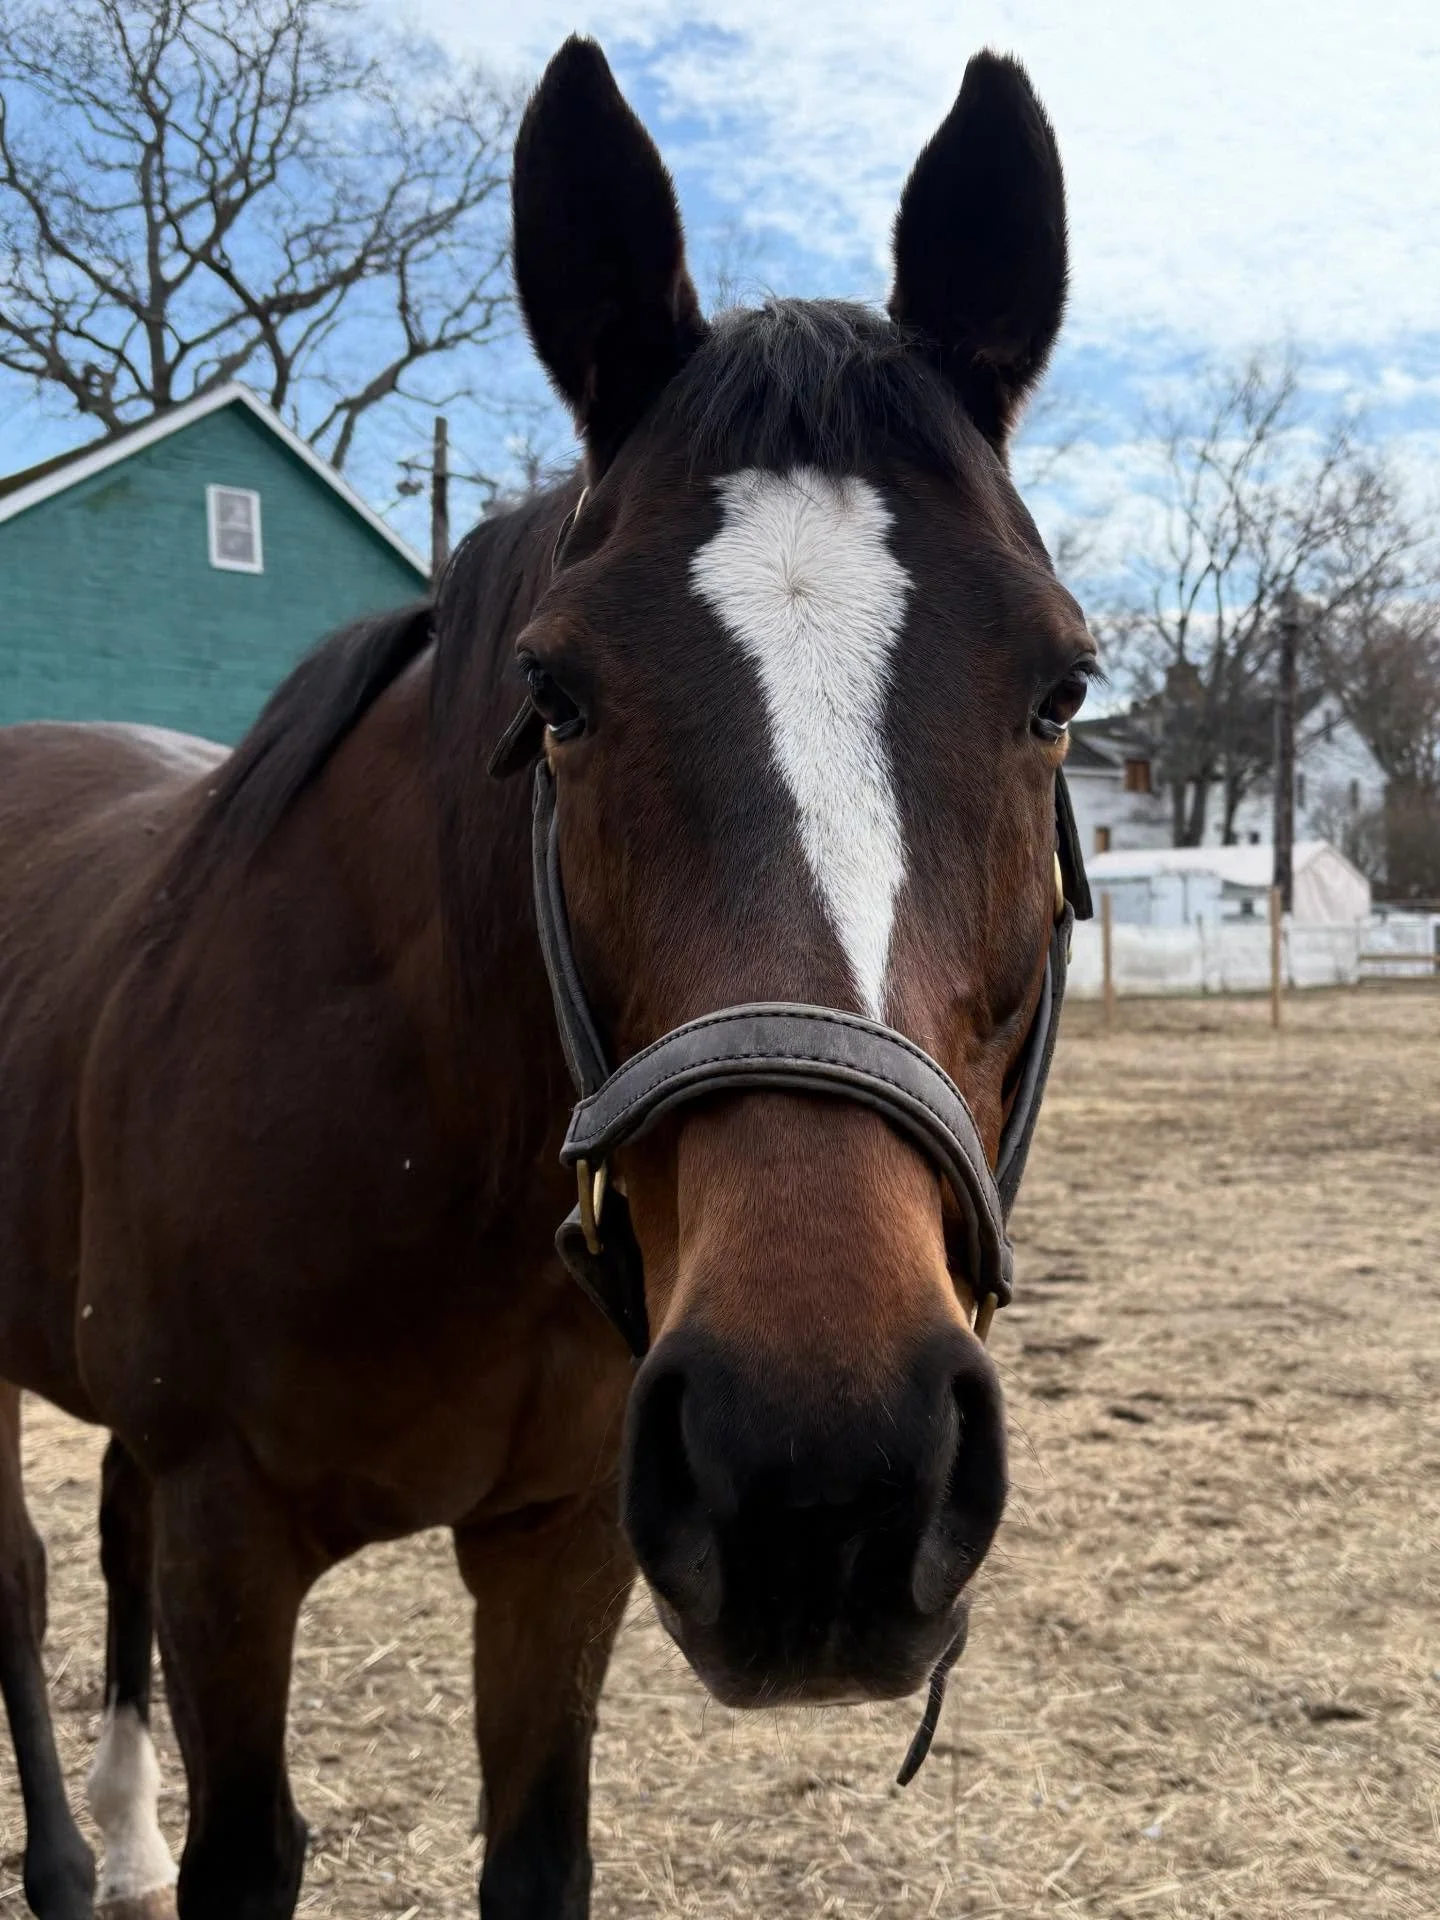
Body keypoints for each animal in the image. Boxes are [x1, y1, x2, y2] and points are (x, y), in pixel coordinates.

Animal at [0, 36, 1095, 1920]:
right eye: (558, 695)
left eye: (1059, 692)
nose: (828, 1471)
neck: (433, 1142)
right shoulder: (237, 1543)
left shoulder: (561, 1541)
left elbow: (535, 1851)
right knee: (22, 1578)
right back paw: (75, 1864)